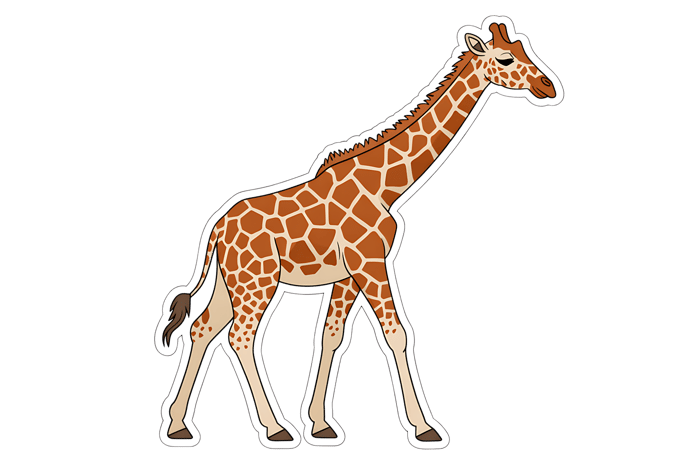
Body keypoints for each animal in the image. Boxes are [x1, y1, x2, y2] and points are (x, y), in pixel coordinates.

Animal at [160, 21, 558, 445]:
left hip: (232, 280)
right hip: (258, 279)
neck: (386, 187)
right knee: (241, 336)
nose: (548, 87)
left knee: (204, 328)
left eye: (525, 50)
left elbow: (331, 335)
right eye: (506, 58)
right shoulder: (370, 262)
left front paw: (320, 424)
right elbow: (397, 333)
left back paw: (179, 424)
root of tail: (216, 230)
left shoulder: (349, 274)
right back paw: (275, 428)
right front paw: (424, 427)